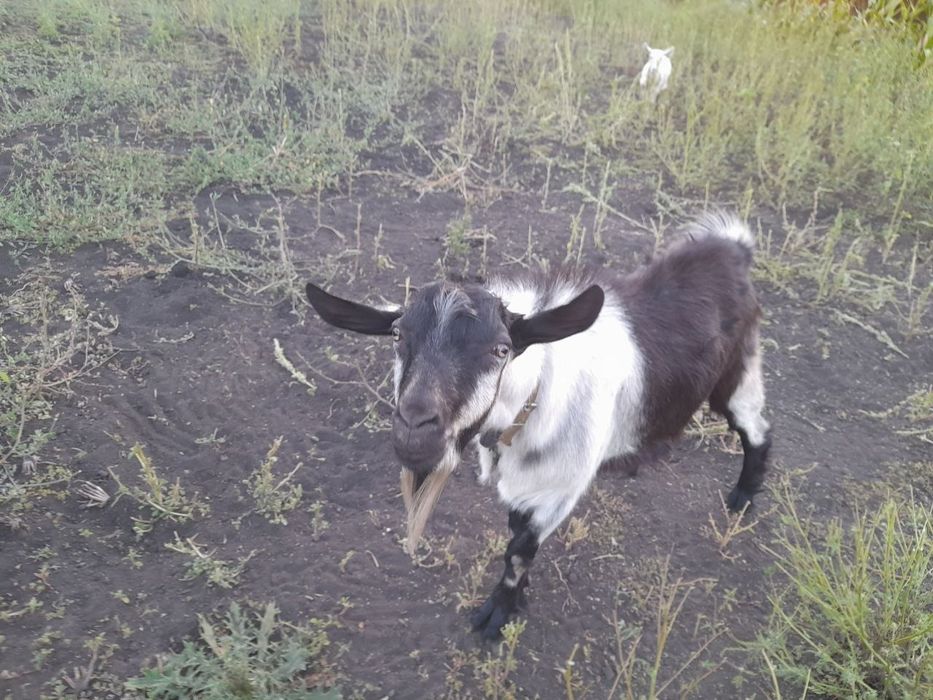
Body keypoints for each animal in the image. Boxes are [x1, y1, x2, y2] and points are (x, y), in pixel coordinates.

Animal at [304, 211, 771, 639]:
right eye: (398, 335)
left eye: (501, 349)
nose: (415, 431)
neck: (533, 395)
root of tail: (733, 248)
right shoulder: (523, 486)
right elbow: (514, 531)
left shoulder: (558, 489)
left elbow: (518, 551)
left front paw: (497, 615)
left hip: (738, 374)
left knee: (756, 430)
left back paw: (743, 497)